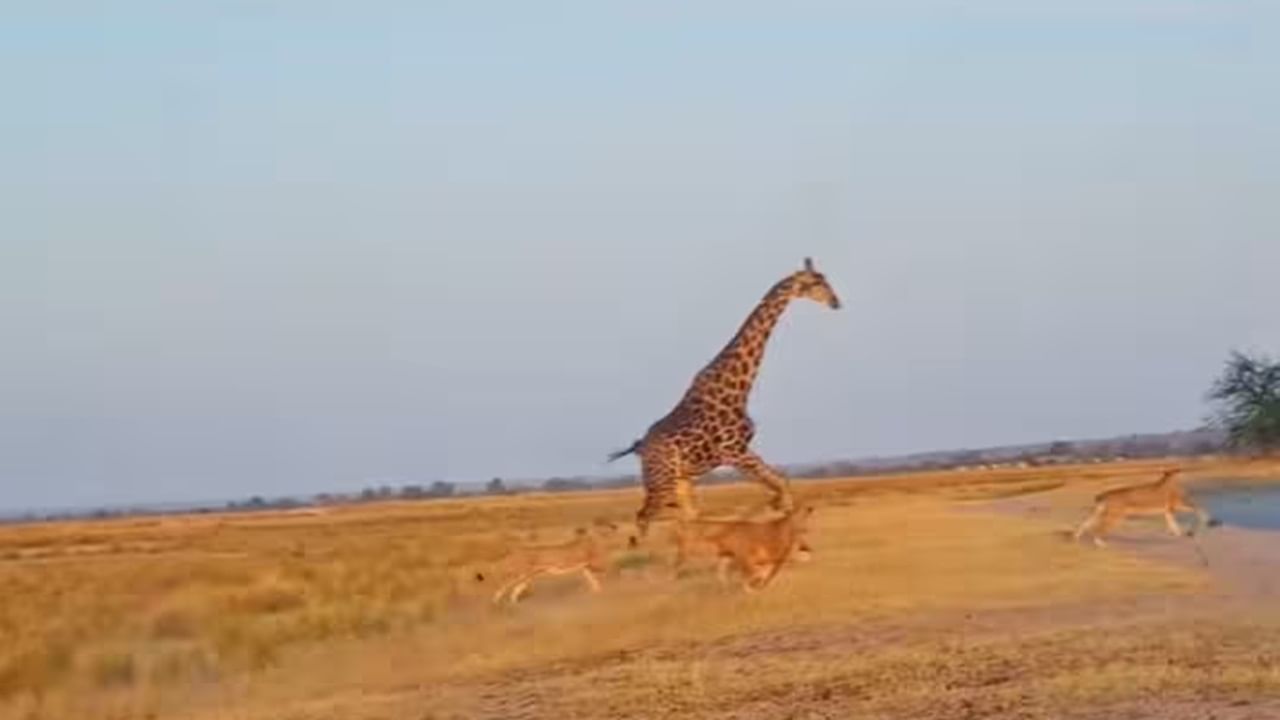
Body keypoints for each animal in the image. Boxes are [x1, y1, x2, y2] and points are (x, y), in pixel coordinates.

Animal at [606, 254, 839, 540]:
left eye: (825, 279)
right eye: (815, 283)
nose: (836, 303)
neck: (739, 389)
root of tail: (640, 447)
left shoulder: (744, 449)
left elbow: (782, 483)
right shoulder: (734, 452)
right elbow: (781, 487)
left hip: (681, 480)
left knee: (687, 516)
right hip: (662, 479)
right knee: (644, 517)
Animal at [1075, 466, 1213, 543]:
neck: (1171, 479)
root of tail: (1103, 494)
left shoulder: (1168, 510)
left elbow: (1172, 522)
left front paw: (1178, 533)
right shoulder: (1176, 505)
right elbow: (1198, 508)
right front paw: (1205, 520)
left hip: (1101, 512)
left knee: (1085, 523)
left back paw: (1076, 539)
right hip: (1115, 516)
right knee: (1099, 529)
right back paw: (1100, 544)